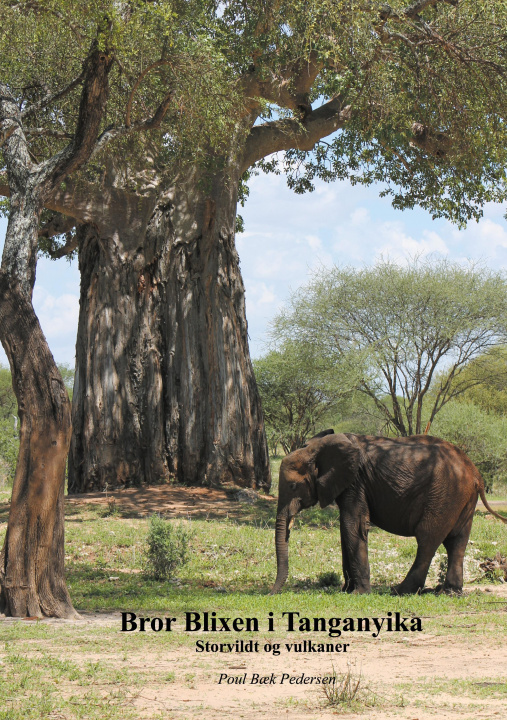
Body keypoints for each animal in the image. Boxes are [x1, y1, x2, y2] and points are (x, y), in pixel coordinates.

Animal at [274, 430, 507, 592]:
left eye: (293, 486)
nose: (271, 594)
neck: (317, 447)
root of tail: (476, 473)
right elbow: (345, 529)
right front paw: (346, 590)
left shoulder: (355, 481)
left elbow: (353, 525)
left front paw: (359, 593)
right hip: (461, 498)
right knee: (457, 542)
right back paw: (449, 592)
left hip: (445, 495)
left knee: (427, 540)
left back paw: (400, 590)